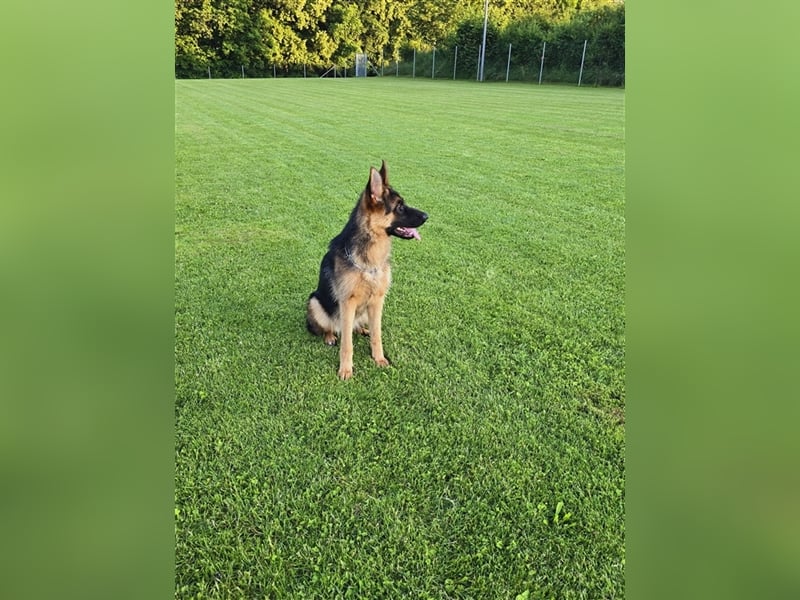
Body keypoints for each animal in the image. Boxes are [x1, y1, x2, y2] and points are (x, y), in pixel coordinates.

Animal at [306, 159, 428, 380]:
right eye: (399, 207)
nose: (427, 215)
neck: (370, 259)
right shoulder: (347, 303)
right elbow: (346, 343)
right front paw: (346, 369)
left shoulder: (378, 300)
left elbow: (377, 335)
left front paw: (378, 358)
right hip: (315, 301)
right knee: (330, 327)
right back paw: (329, 336)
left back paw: (362, 329)